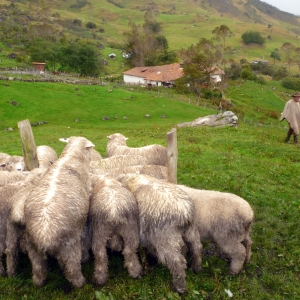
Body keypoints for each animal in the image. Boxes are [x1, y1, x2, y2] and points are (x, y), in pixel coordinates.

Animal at [24, 137, 95, 288]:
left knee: (38, 270)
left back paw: (39, 282)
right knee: (72, 269)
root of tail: (45, 237)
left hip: (33, 247)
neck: (71, 156)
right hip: (70, 246)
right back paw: (80, 282)